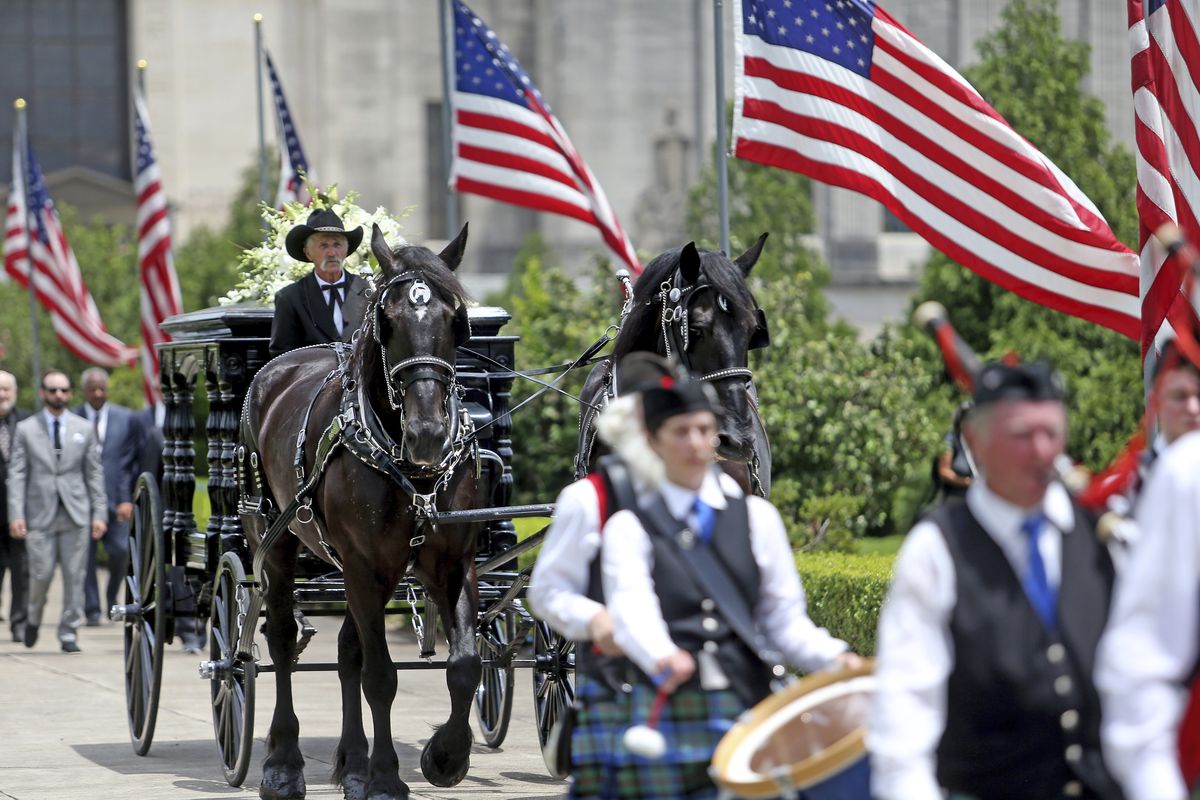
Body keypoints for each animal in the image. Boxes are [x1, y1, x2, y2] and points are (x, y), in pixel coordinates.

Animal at [238, 225, 482, 800]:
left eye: (456, 319)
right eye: (386, 320)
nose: (427, 433)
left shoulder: (451, 563)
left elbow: (464, 665)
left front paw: (444, 756)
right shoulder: (365, 567)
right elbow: (381, 676)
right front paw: (388, 778)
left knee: (348, 650)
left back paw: (352, 762)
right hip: (277, 544)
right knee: (282, 642)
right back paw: (283, 762)